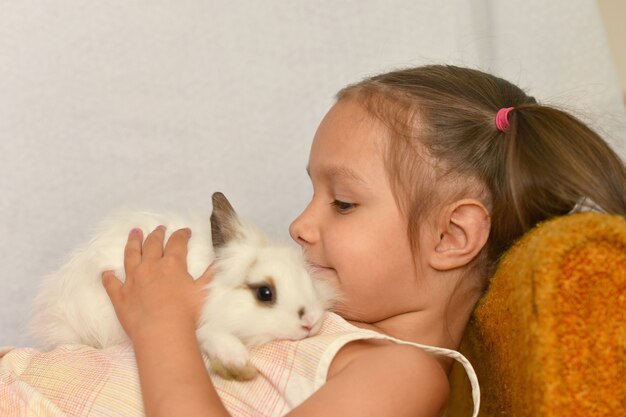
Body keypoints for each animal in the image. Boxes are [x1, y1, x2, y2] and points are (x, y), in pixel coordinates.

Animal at [31, 192, 334, 380]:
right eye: (265, 293)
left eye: (306, 276)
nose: (311, 322)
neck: (212, 291)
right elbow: (211, 335)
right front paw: (236, 359)